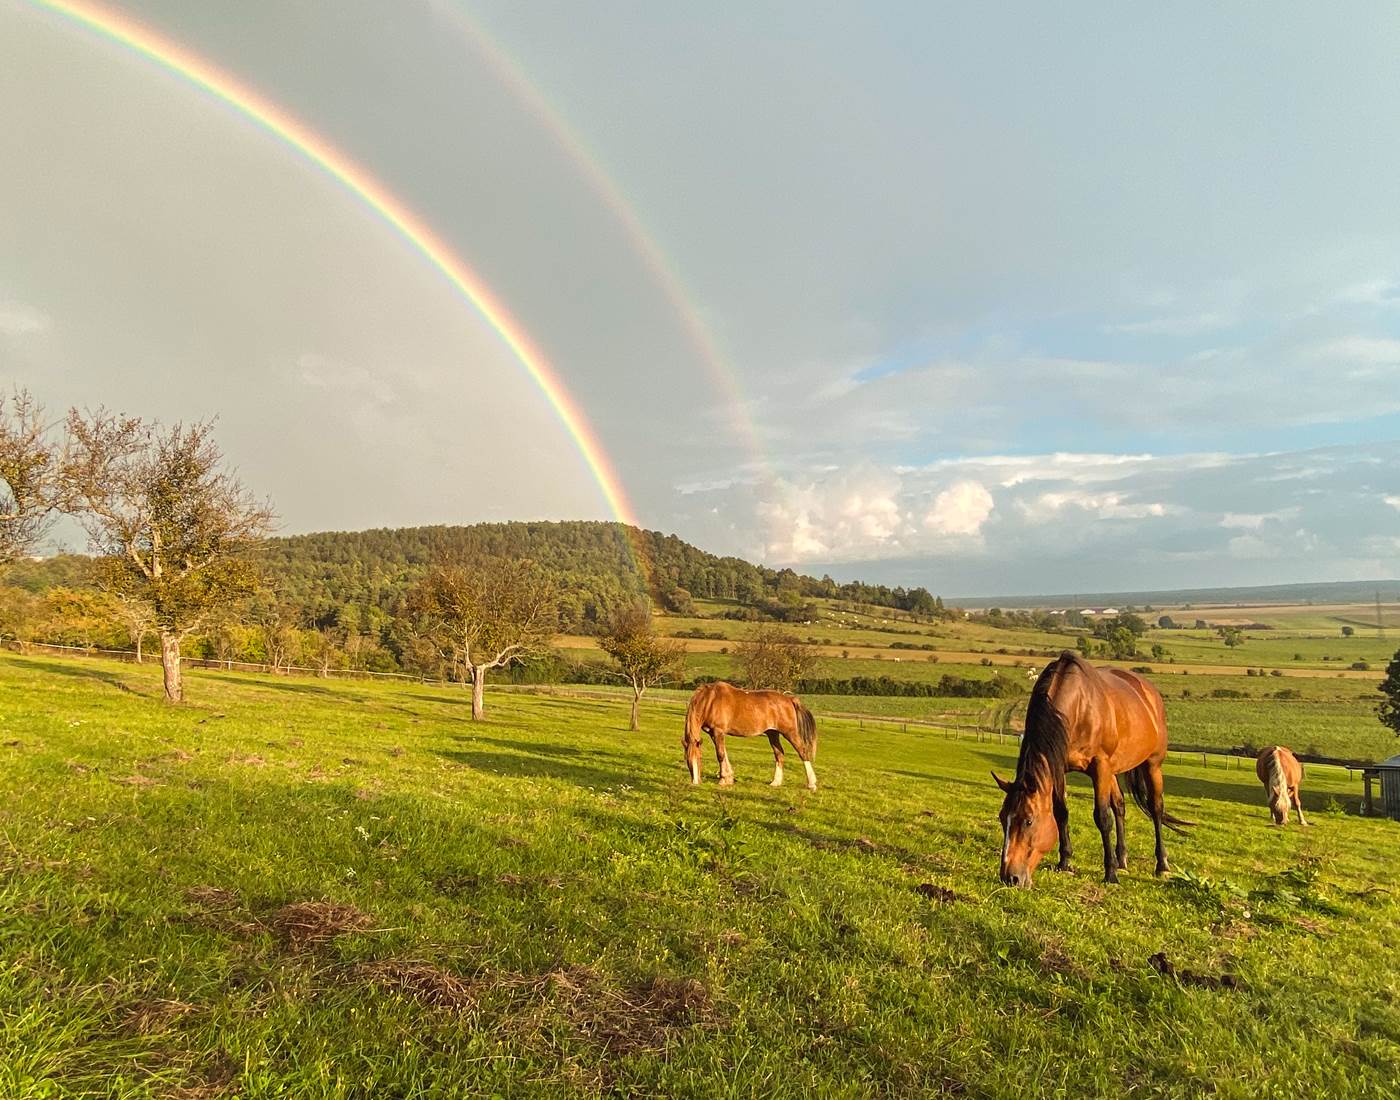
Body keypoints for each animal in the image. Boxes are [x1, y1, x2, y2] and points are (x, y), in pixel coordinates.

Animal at [683, 681, 818, 790]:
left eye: (698, 758)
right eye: (687, 760)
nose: (695, 782)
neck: (710, 700)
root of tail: (789, 699)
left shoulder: (718, 732)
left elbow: (720, 755)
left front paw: (722, 780)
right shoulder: (713, 733)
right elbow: (724, 754)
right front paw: (729, 778)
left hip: (790, 732)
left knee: (803, 752)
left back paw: (811, 784)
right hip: (772, 734)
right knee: (779, 754)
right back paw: (775, 782)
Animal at [993, 651, 1192, 887]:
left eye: (1028, 820)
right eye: (1002, 817)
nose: (1010, 877)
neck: (1078, 707)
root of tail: (1149, 691)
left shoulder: (1100, 766)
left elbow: (1102, 818)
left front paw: (1110, 874)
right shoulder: (1060, 767)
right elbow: (1061, 812)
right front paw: (1065, 862)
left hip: (1152, 764)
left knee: (1155, 808)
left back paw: (1161, 865)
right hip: (1114, 770)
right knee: (1120, 806)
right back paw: (1122, 859)